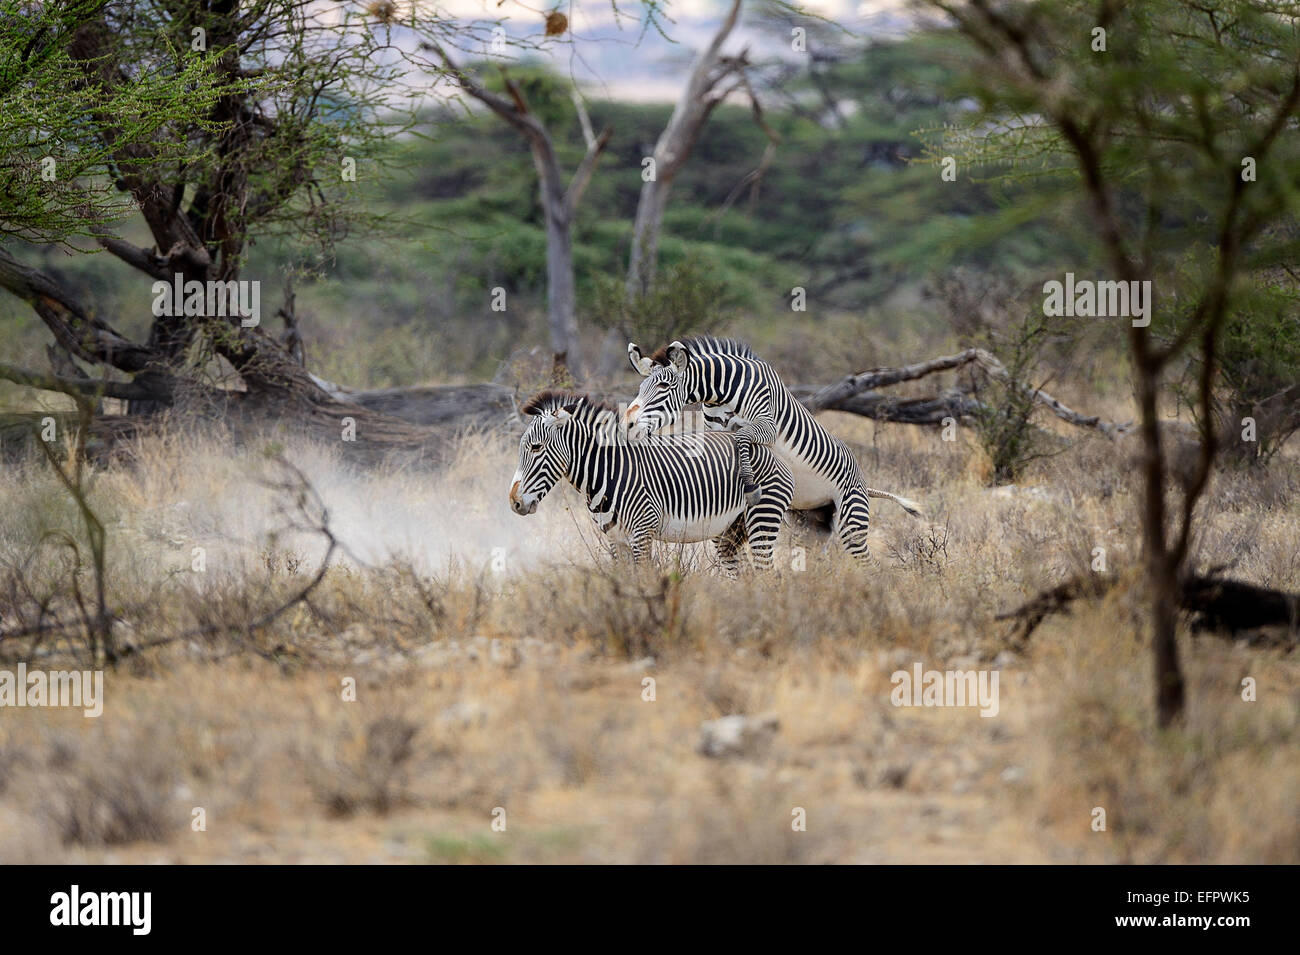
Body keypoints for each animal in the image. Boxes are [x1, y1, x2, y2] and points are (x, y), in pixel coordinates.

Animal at [506, 389, 790, 571]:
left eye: (536, 447)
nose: (514, 502)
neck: (610, 471)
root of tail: (768, 450)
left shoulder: (642, 533)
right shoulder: (616, 540)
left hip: (762, 518)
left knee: (767, 575)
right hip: (729, 531)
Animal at [624, 335, 920, 561]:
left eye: (663, 386)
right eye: (641, 387)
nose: (627, 424)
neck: (721, 393)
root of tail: (863, 482)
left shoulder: (767, 423)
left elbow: (743, 437)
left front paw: (749, 482)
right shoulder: (716, 431)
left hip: (851, 515)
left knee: (866, 560)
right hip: (810, 525)